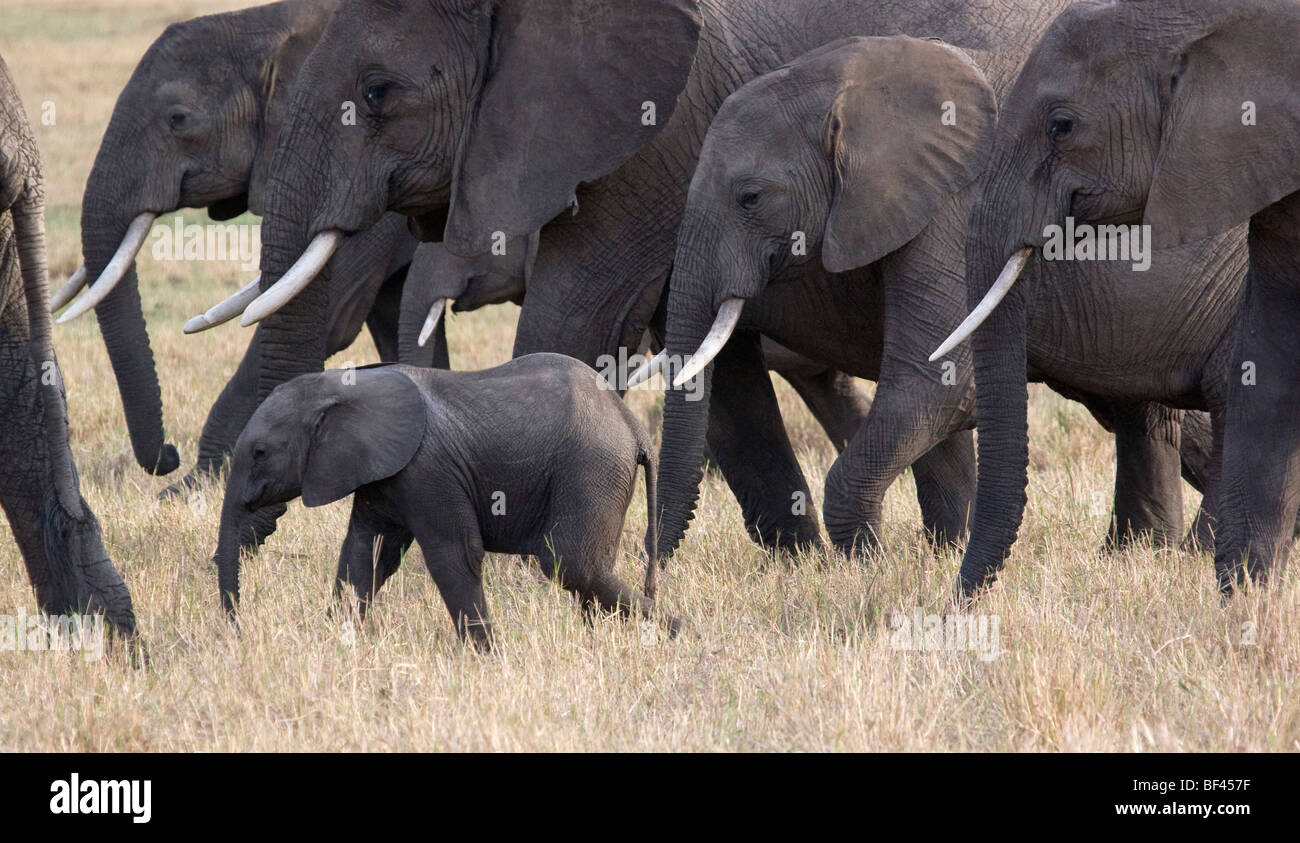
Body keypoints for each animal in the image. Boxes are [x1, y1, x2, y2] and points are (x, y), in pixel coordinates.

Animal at [52, 0, 410, 494]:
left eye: (178, 119)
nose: (168, 456)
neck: (270, 23)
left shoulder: (359, 169)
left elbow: (330, 314)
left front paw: (192, 487)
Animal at [211, 351, 670, 647]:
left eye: (260, 453)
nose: (237, 634)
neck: (347, 385)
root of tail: (630, 423)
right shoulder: (384, 474)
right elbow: (366, 552)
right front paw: (333, 641)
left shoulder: (428, 469)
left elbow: (453, 555)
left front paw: (486, 656)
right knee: (588, 567)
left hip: (591, 466)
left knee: (570, 563)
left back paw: (673, 632)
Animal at [650, 32, 1237, 559]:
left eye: (749, 198)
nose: (654, 563)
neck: (856, 78)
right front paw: (940, 552)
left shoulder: (954, 212)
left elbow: (937, 384)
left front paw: (866, 565)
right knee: (1151, 412)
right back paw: (1138, 556)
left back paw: (1194, 555)